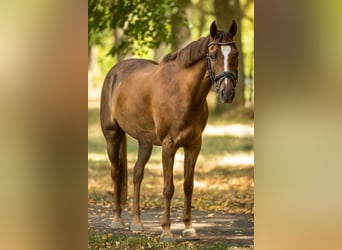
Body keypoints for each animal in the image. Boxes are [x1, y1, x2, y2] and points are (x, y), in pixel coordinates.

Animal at [100, 20, 239, 240]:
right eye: (213, 55)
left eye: (236, 54)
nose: (228, 92)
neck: (183, 93)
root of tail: (114, 72)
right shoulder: (169, 146)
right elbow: (168, 188)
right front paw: (166, 230)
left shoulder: (193, 146)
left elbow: (188, 185)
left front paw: (189, 228)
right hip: (113, 136)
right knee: (116, 173)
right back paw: (117, 220)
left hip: (145, 142)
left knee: (137, 174)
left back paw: (136, 222)